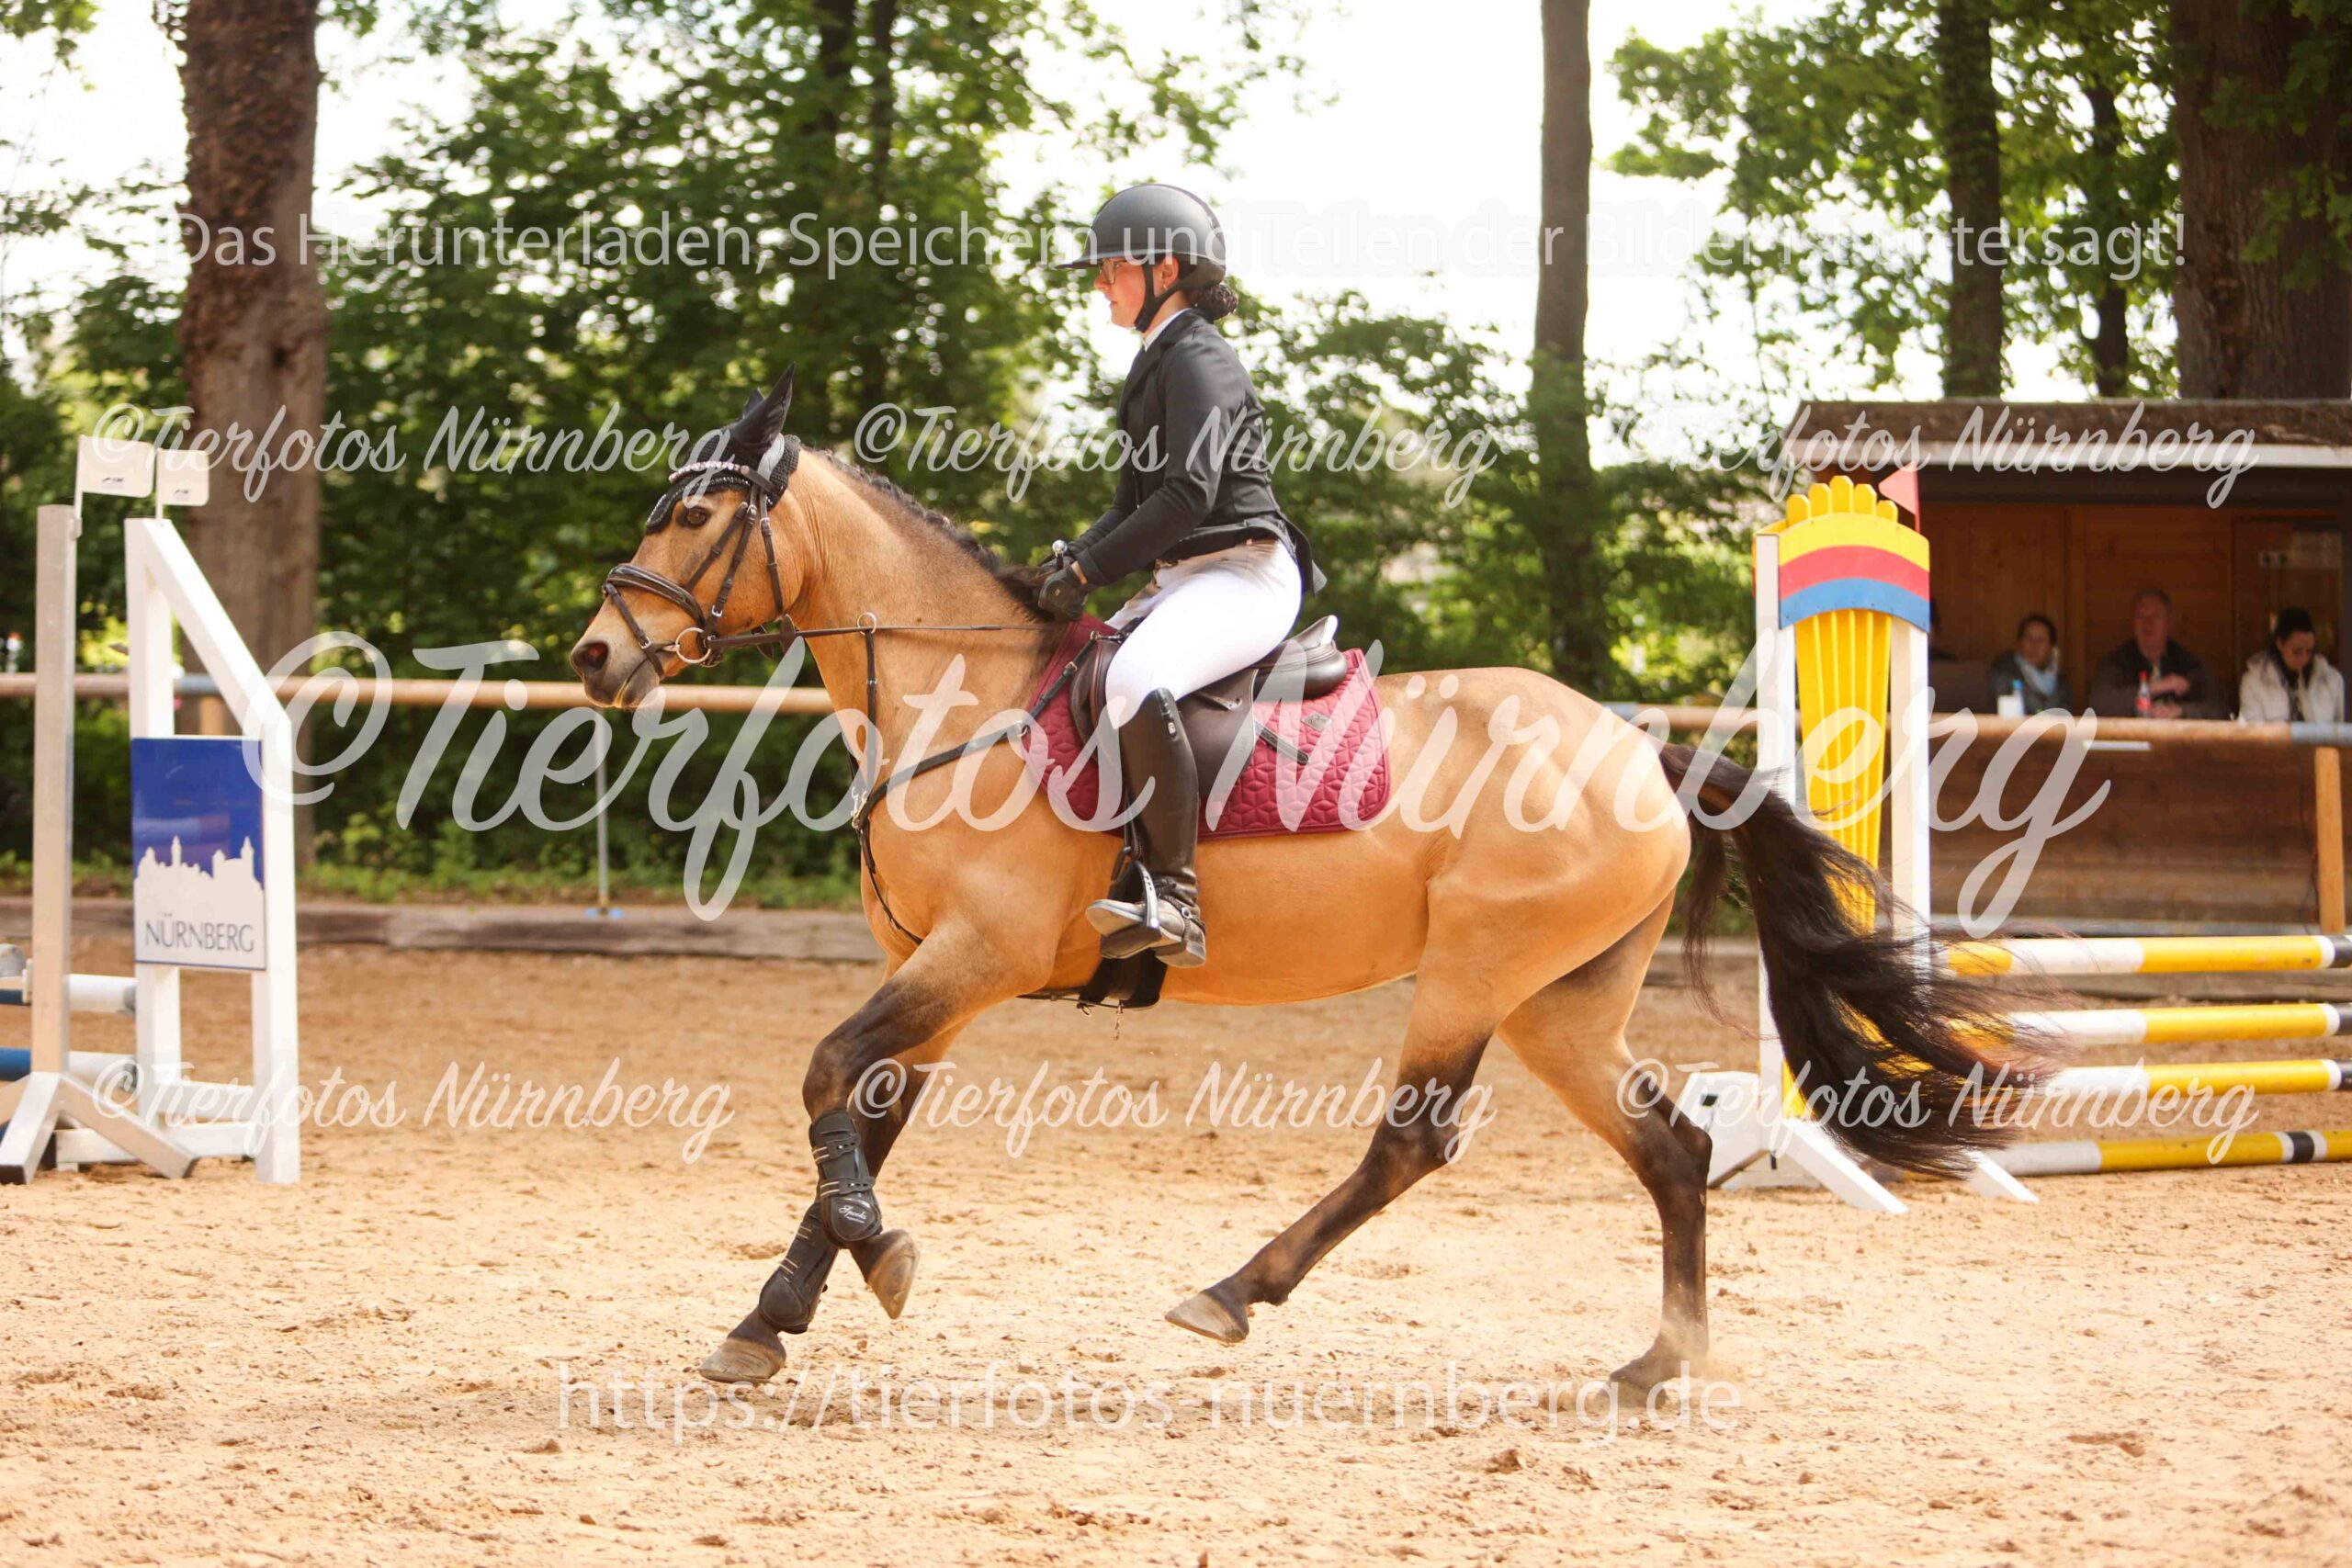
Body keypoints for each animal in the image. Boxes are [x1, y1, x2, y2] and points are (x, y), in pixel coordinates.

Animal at [569, 371, 2026, 1394]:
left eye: (690, 515)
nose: (595, 655)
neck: (959, 696)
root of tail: (1642, 752)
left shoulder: (977, 957)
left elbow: (828, 1075)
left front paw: (871, 1263)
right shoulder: (938, 976)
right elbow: (858, 1117)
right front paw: (770, 1319)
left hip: (1477, 972)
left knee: (1414, 1140)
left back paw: (1234, 1291)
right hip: (1560, 1001)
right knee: (1671, 1148)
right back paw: (1658, 1362)